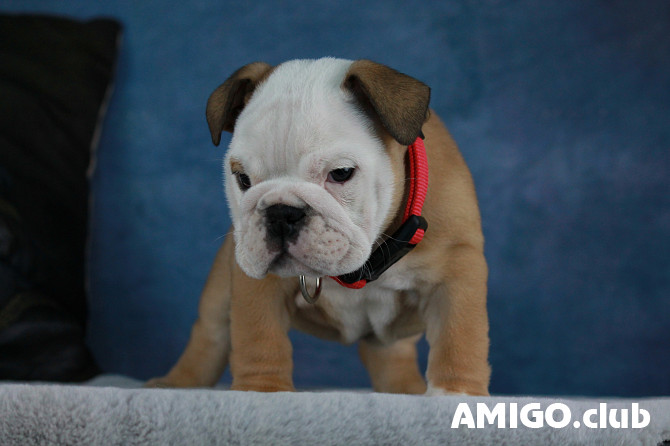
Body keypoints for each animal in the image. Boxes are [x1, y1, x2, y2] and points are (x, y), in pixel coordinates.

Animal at [147, 57, 490, 396]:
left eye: (341, 173)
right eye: (242, 179)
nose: (281, 212)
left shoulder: (456, 270)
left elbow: (458, 337)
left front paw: (456, 393)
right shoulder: (256, 284)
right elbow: (259, 337)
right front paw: (261, 391)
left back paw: (404, 390)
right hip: (222, 285)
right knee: (210, 334)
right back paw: (176, 382)